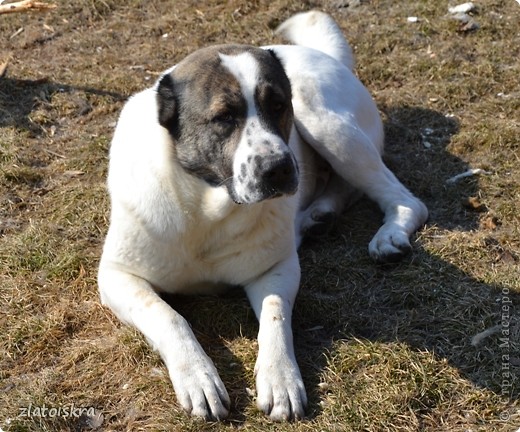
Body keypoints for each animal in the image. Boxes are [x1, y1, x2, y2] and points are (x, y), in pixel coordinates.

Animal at [97, 11, 426, 422]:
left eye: (278, 106)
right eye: (224, 117)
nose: (279, 168)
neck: (207, 210)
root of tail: (321, 54)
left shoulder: (276, 268)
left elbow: (274, 317)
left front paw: (280, 378)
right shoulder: (116, 277)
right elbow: (167, 316)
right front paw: (198, 377)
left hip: (325, 124)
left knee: (403, 198)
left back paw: (388, 234)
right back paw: (318, 216)